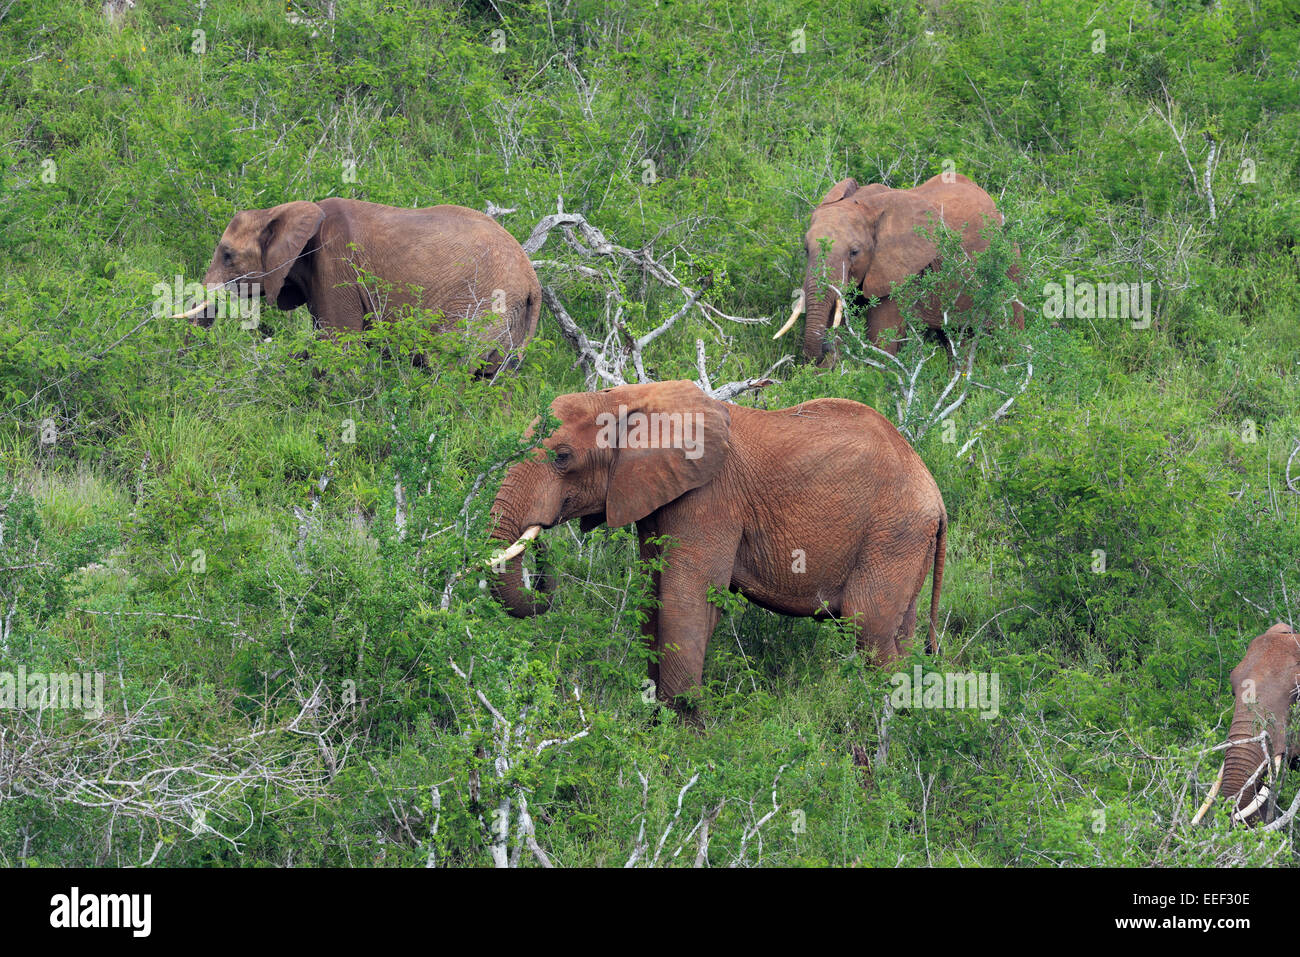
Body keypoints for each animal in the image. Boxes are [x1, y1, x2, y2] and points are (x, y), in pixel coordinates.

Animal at [175, 198, 540, 377]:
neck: (280, 211)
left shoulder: (335, 264)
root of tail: (533, 284)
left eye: (227, 255)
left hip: (481, 307)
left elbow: (339, 344)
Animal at [488, 377, 946, 707]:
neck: (630, 397)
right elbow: (654, 598)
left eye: (562, 457)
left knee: (868, 626)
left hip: (893, 532)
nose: (541, 544)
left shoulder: (709, 498)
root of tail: (936, 496)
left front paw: (684, 747)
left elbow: (684, 600)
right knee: (899, 636)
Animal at [769, 172, 1024, 361]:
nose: (825, 348)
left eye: (854, 252)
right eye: (806, 250)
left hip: (1010, 262)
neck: (867, 204)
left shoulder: (903, 270)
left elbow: (882, 336)